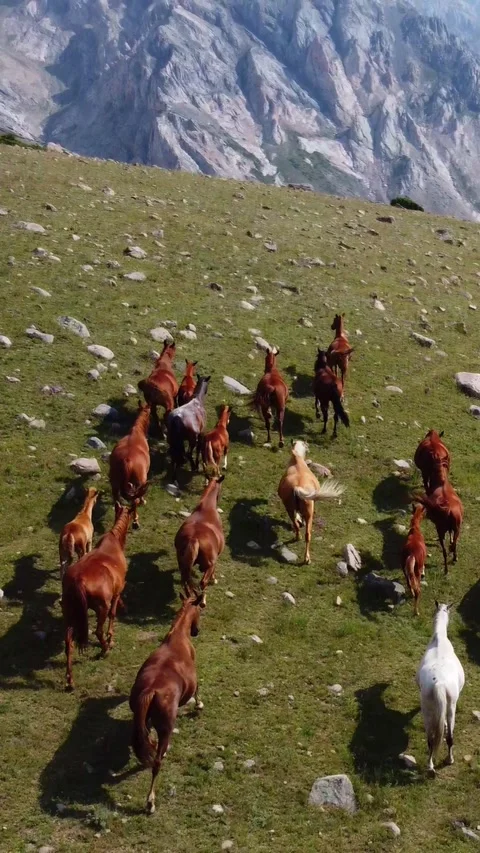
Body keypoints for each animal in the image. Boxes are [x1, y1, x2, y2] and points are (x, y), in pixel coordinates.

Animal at [62, 501, 138, 689]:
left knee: (69, 643)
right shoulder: (117, 592)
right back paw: (105, 650)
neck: (113, 542)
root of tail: (77, 581)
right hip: (101, 607)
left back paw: (70, 680)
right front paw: (111, 638)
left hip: (69, 612)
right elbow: (113, 614)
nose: (135, 524)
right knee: (97, 631)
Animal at [129, 592, 206, 814]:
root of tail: (151, 691)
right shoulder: (194, 677)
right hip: (166, 728)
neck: (177, 638)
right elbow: (197, 690)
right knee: (156, 763)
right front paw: (199, 705)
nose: (196, 631)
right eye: (200, 609)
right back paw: (150, 802)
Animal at [416, 602, 465, 775]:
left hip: (428, 711)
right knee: (448, 737)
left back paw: (430, 766)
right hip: (450, 709)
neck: (439, 640)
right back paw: (449, 760)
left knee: (431, 739)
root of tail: (439, 683)